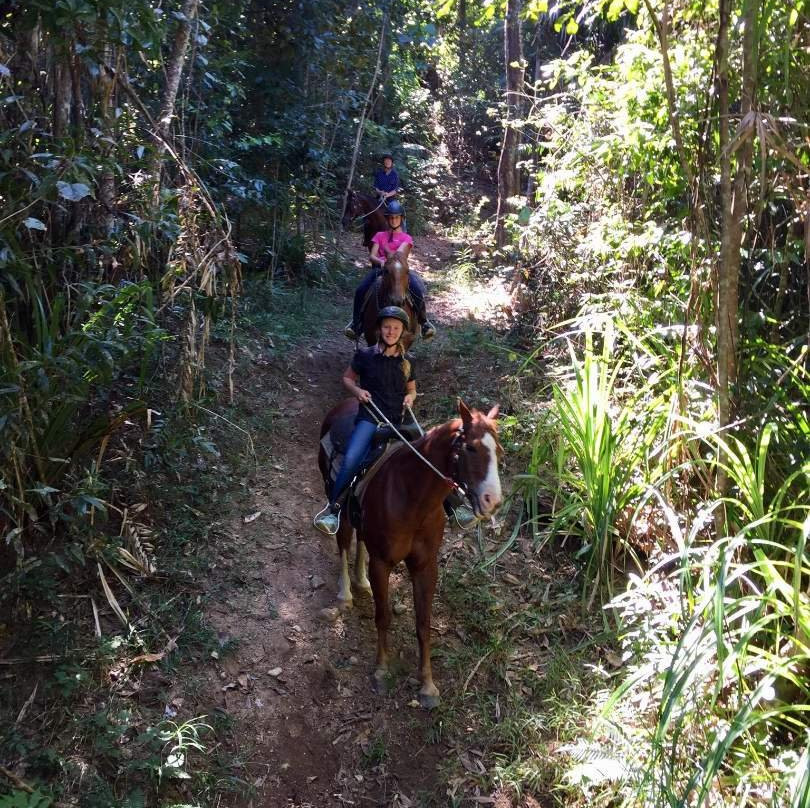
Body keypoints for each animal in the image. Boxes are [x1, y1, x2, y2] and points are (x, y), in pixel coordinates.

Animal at [317, 398, 503, 708]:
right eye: (470, 448)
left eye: (498, 450)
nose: (493, 500)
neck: (413, 497)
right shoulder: (382, 563)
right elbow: (383, 617)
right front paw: (382, 670)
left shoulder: (425, 565)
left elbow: (423, 623)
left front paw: (427, 685)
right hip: (336, 495)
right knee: (343, 538)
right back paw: (345, 592)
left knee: (360, 539)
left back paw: (361, 581)